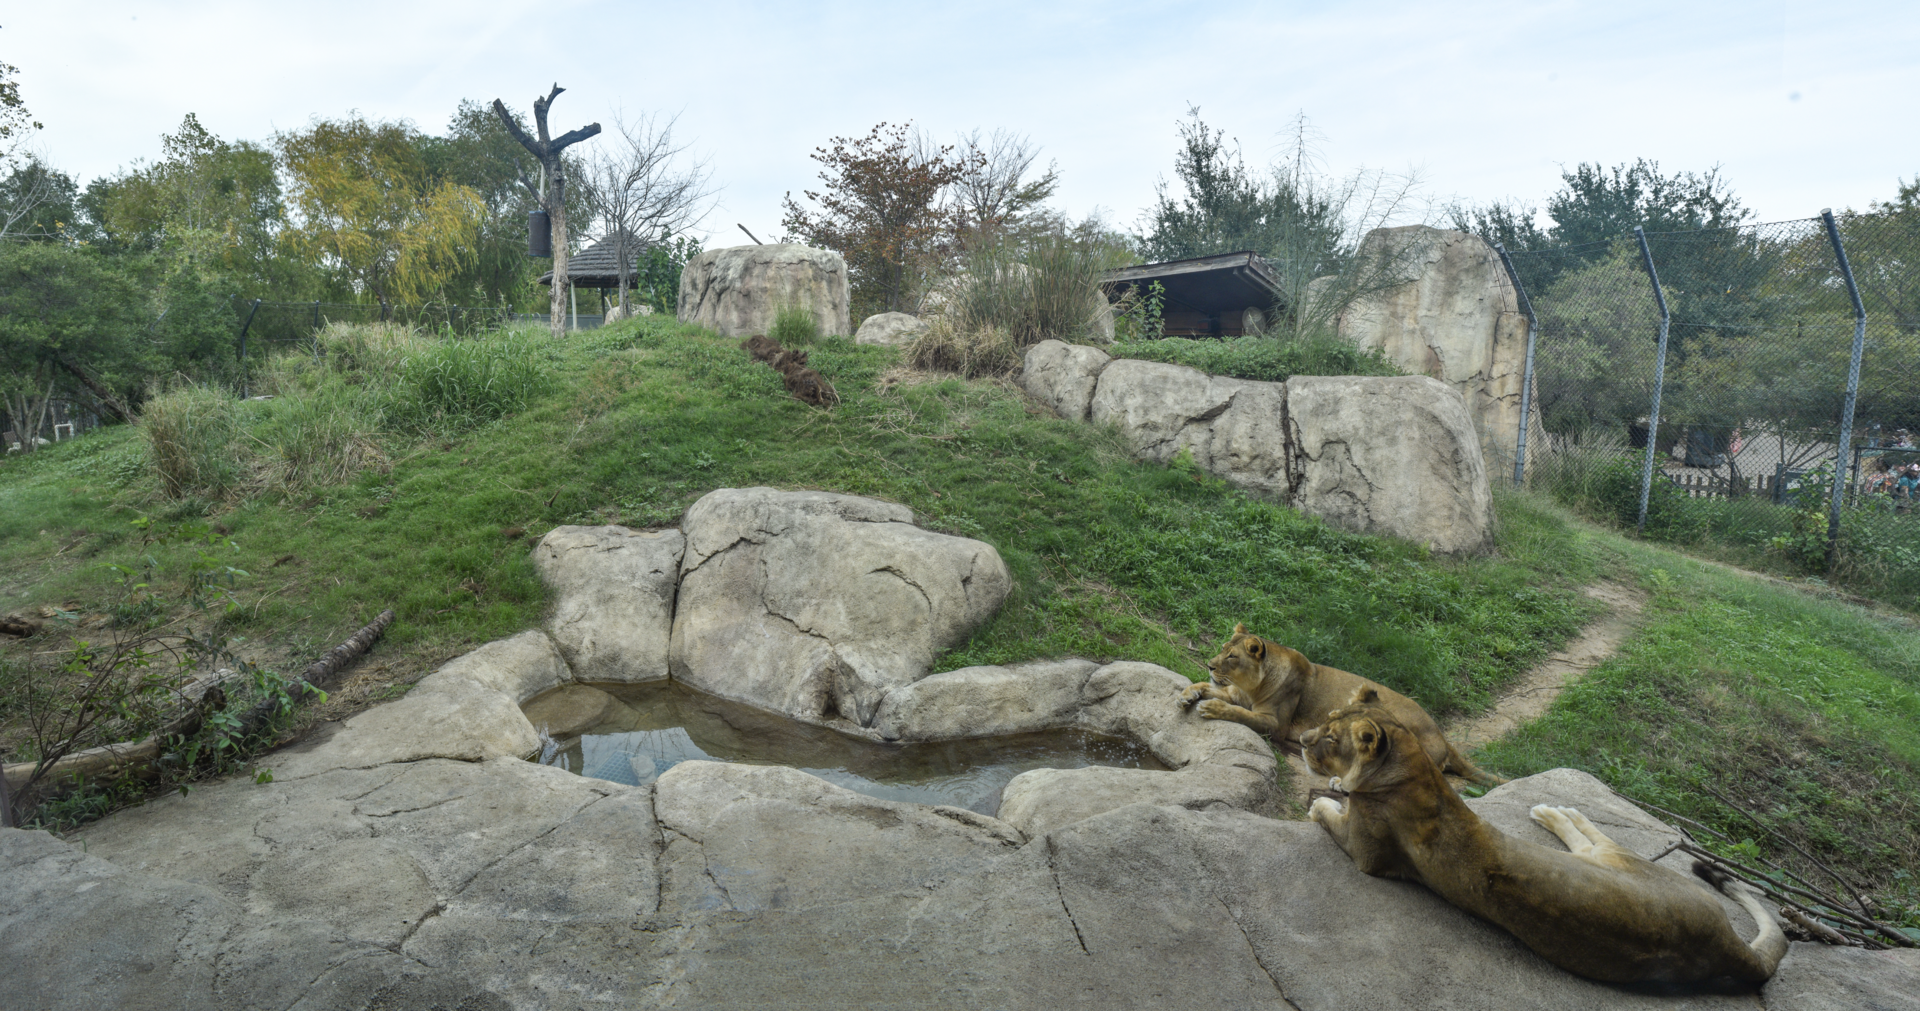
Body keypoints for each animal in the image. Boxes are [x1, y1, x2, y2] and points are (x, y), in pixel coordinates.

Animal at [1180, 624, 1501, 785]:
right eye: (1223, 648)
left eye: (1232, 657)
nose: (1210, 665)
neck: (1251, 686)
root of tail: (1444, 740)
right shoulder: (1235, 693)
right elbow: (1205, 687)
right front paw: (1187, 694)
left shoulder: (1275, 723)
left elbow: (1240, 714)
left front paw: (1211, 708)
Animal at [1299, 696, 1787, 987]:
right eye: (1325, 721)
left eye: (1330, 737)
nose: (1301, 739)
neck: (1412, 763)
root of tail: (1728, 948)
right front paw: (1338, 784)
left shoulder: (1366, 854)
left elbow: (1330, 816)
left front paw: (1324, 799)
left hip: (1617, 859)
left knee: (1594, 835)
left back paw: (1555, 811)